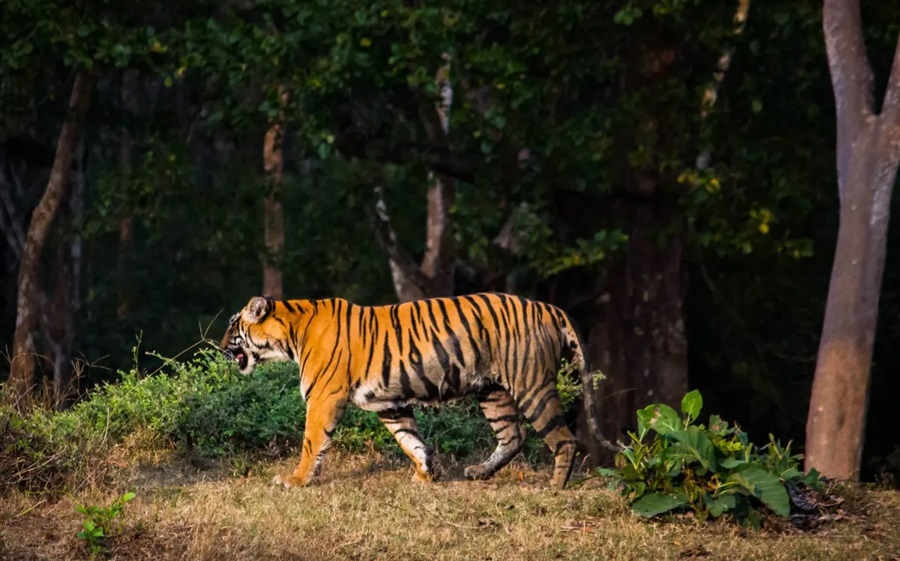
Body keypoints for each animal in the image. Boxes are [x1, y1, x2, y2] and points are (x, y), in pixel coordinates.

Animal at [219, 292, 614, 489]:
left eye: (232, 327)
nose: (220, 346)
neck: (291, 332)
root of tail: (549, 307)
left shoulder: (323, 398)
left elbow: (311, 441)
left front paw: (295, 480)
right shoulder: (389, 403)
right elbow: (411, 440)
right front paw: (427, 474)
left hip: (531, 385)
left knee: (563, 439)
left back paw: (556, 487)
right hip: (491, 390)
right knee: (512, 436)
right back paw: (479, 473)